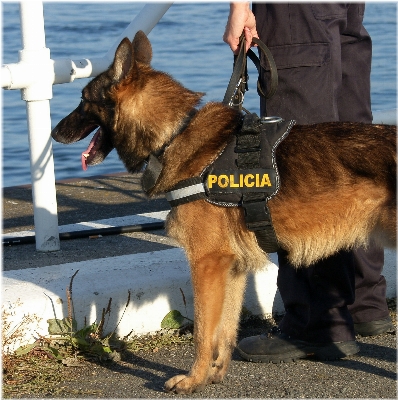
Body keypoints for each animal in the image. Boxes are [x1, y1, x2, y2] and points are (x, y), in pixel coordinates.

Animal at [51, 31, 396, 394]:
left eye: (82, 100)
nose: (54, 132)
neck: (174, 133)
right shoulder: (233, 267)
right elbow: (225, 330)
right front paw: (214, 373)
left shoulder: (207, 263)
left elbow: (203, 332)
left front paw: (193, 379)